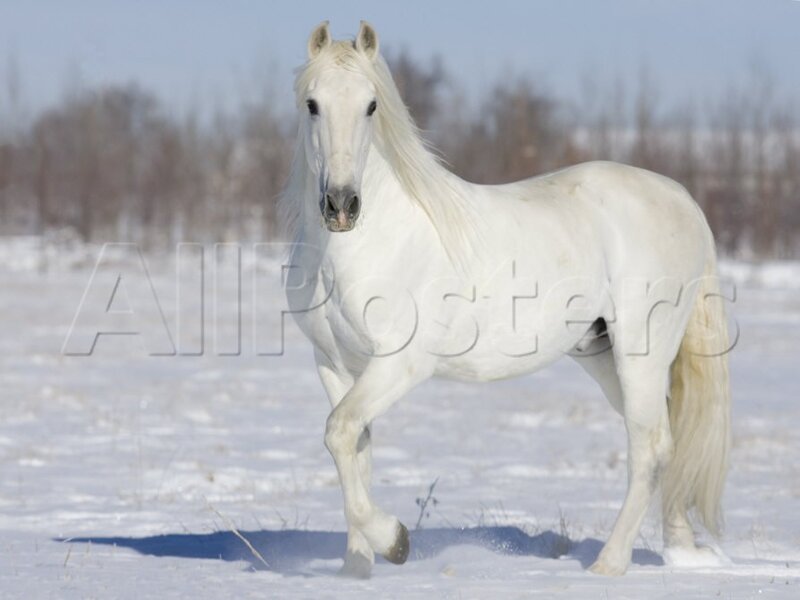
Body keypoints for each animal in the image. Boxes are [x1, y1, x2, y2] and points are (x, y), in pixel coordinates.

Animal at [281, 21, 731, 578]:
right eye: (313, 104)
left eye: (370, 105)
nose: (341, 204)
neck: (360, 245)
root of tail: (682, 198)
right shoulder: (334, 364)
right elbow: (354, 450)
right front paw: (356, 569)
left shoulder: (401, 365)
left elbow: (340, 432)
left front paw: (396, 543)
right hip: (602, 356)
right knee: (668, 440)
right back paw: (679, 551)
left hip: (641, 354)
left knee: (649, 448)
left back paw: (608, 566)